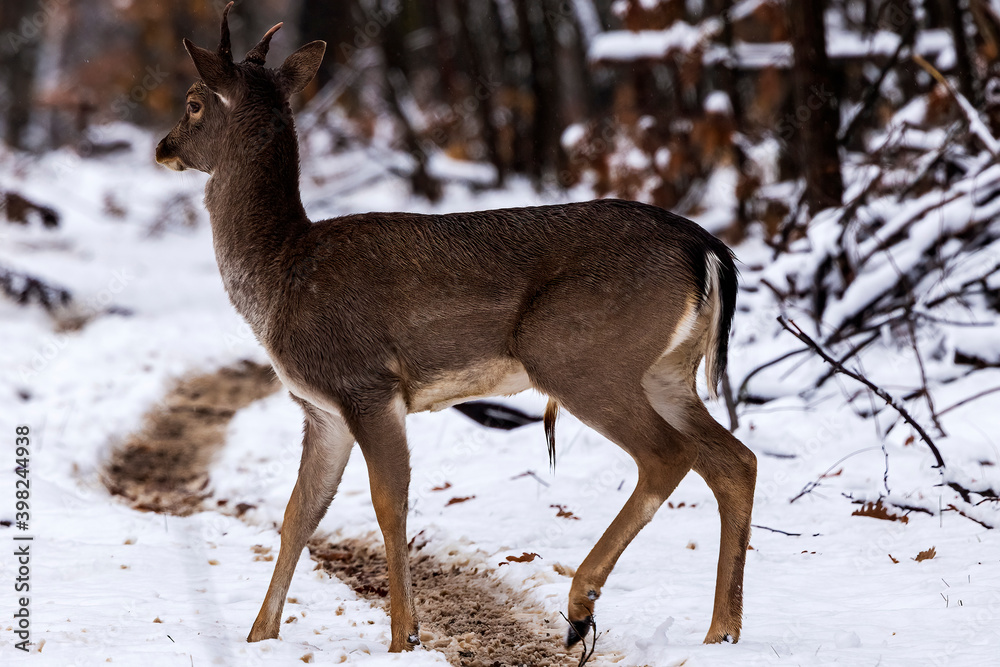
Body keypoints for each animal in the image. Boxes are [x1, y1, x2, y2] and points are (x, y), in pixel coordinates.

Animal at [155, 3, 756, 654]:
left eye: (193, 102)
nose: (163, 146)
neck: (282, 271)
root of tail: (706, 247)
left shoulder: (367, 383)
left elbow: (388, 504)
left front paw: (404, 638)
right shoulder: (321, 409)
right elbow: (299, 515)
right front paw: (259, 637)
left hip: (575, 351)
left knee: (668, 454)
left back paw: (582, 605)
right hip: (664, 370)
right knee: (734, 460)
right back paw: (721, 631)